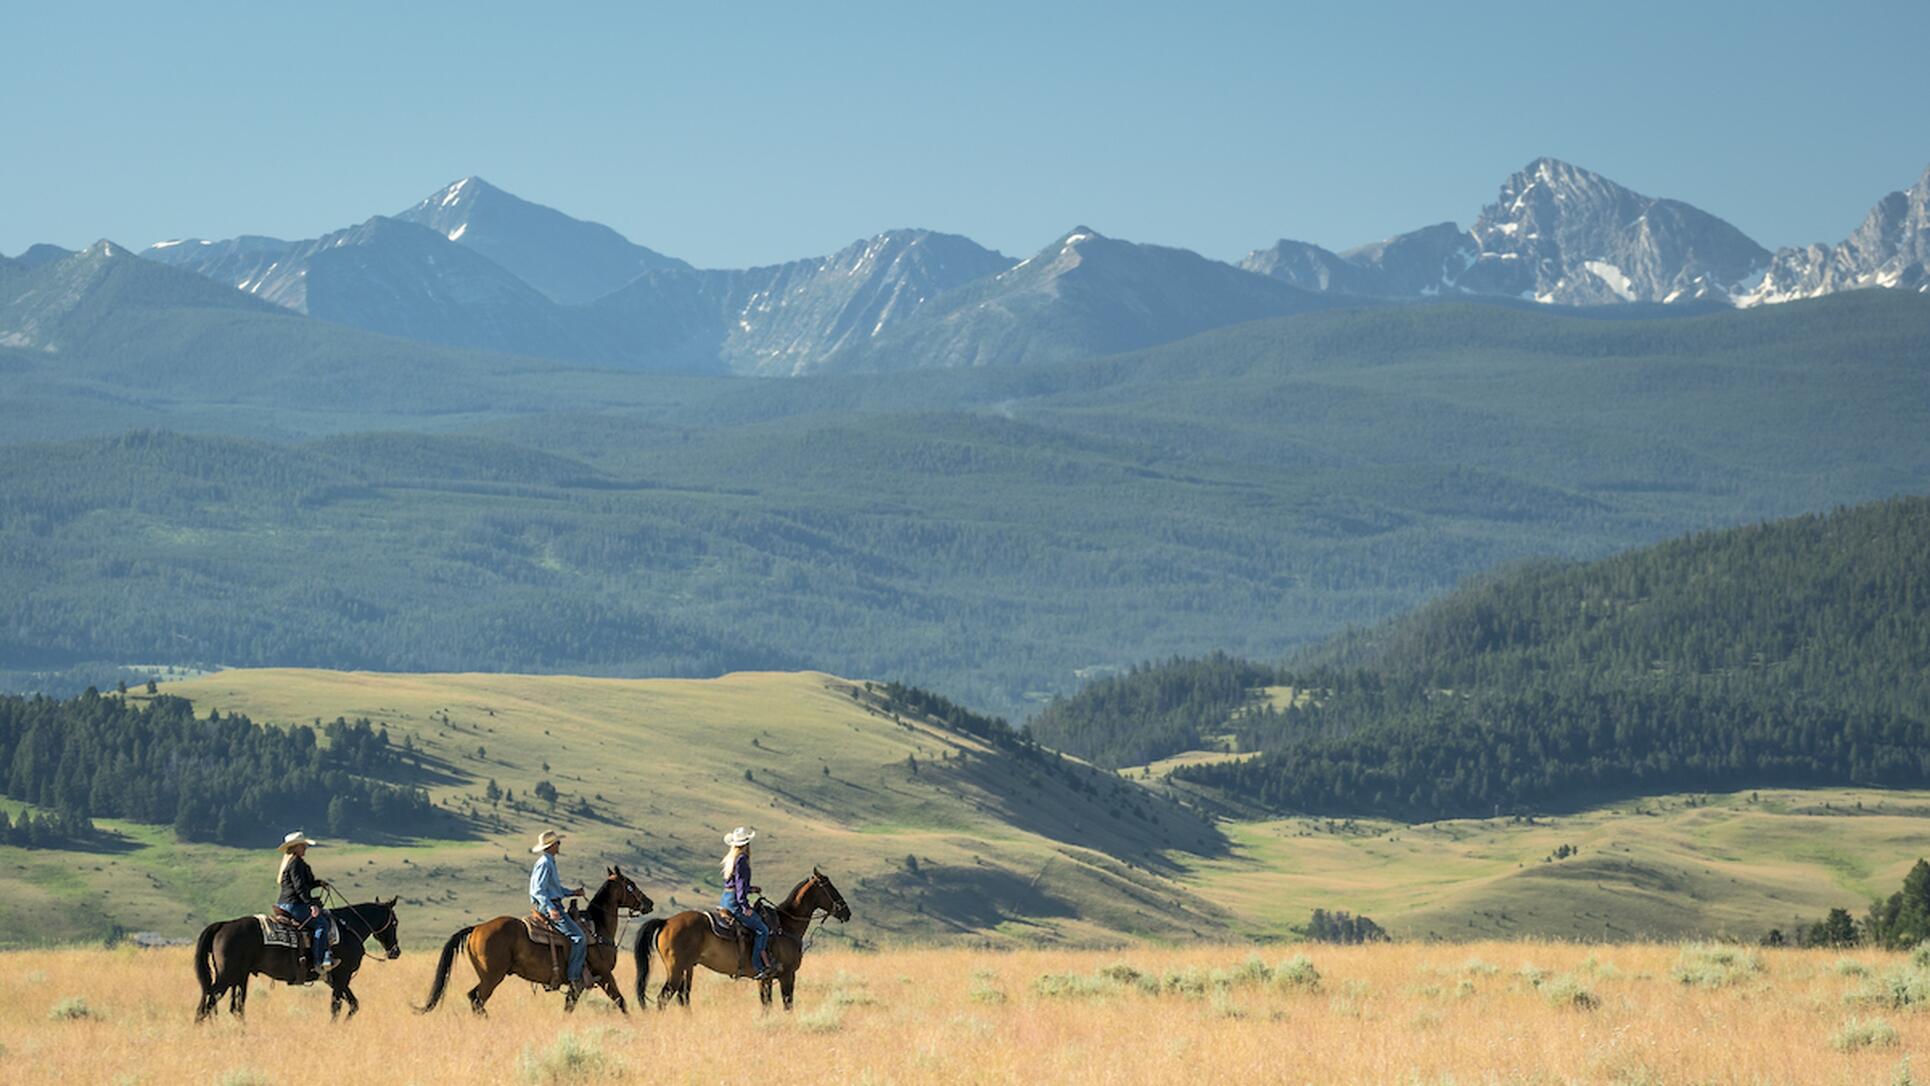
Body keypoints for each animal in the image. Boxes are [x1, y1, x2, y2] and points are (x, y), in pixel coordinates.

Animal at [193, 895, 401, 1026]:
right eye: (395, 922)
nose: (395, 951)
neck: (348, 928)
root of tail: (223, 925)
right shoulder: (343, 976)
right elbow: (336, 1007)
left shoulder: (334, 979)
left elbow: (353, 1004)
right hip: (227, 975)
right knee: (208, 1003)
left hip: (239, 977)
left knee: (235, 1007)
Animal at [414, 868, 648, 1018]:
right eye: (631, 885)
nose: (649, 903)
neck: (597, 929)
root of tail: (477, 928)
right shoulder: (604, 975)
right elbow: (621, 1002)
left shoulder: (581, 984)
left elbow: (569, 1007)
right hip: (492, 976)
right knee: (477, 998)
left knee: (474, 998)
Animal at [633, 871, 853, 1018]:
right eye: (830, 888)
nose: (846, 912)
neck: (785, 925)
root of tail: (666, 922)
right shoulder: (787, 975)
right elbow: (787, 1004)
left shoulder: (764, 978)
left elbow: (766, 1004)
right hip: (676, 971)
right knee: (663, 999)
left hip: (687, 969)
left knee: (683, 998)